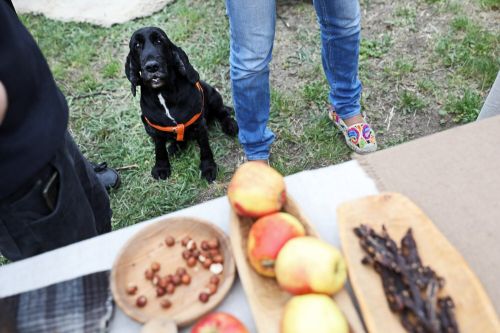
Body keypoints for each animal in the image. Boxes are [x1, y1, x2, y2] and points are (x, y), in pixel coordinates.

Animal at [127, 26, 240, 182]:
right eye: (136, 45)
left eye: (159, 41)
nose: (152, 67)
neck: (163, 93)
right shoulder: (155, 130)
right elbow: (159, 150)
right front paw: (161, 167)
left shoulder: (199, 125)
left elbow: (205, 148)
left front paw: (208, 168)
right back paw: (176, 146)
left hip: (212, 94)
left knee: (222, 111)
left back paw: (230, 125)